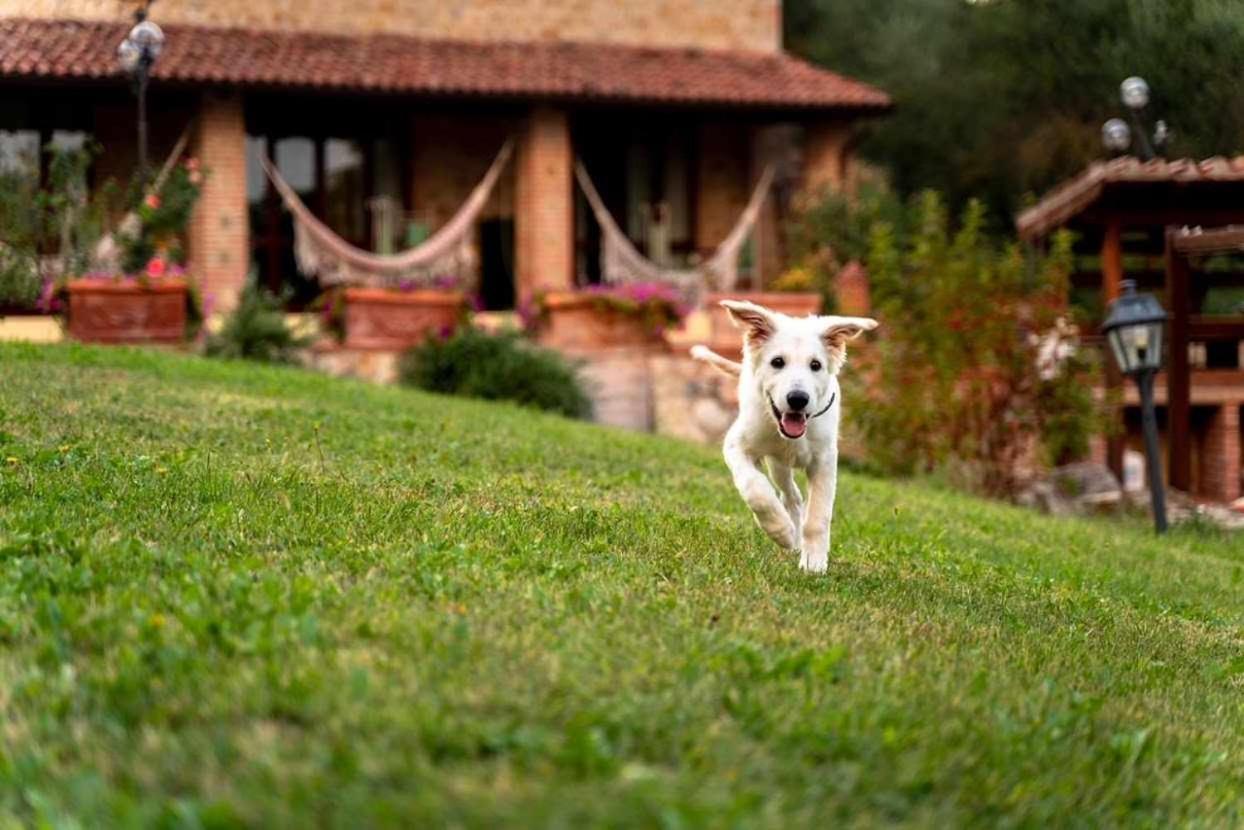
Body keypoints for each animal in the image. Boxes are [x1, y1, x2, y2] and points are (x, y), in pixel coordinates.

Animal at [696, 302, 880, 574]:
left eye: (815, 365)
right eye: (777, 362)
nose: (798, 399)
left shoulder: (825, 460)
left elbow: (818, 515)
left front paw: (814, 562)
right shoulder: (736, 445)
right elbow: (755, 489)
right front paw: (780, 530)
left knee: (795, 497)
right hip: (778, 464)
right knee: (790, 495)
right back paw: (790, 533)